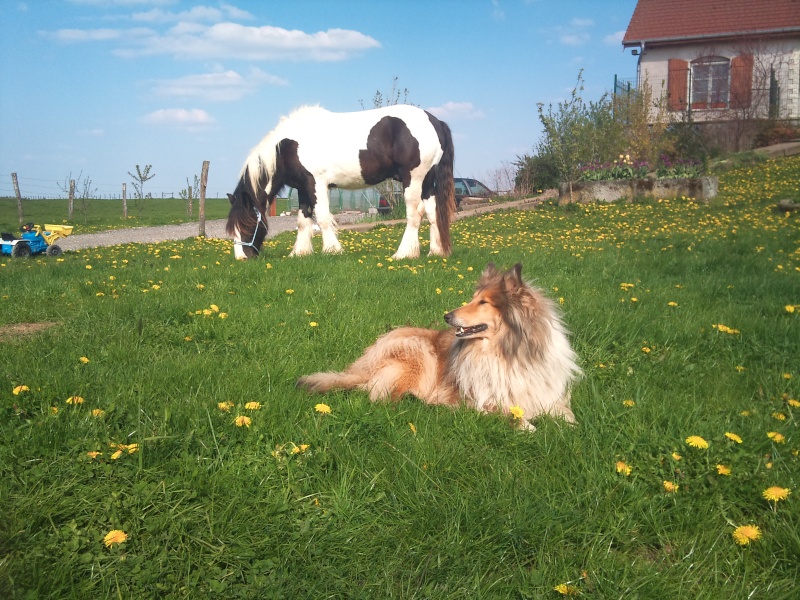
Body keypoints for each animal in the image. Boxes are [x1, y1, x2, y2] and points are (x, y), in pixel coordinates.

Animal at [225, 104, 456, 258]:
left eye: (246, 224)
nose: (242, 258)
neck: (287, 146)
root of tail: (435, 122)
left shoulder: (316, 183)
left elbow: (323, 218)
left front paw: (332, 250)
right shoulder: (303, 188)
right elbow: (303, 220)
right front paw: (299, 253)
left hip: (413, 179)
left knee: (415, 214)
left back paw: (403, 254)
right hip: (427, 182)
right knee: (433, 213)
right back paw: (435, 252)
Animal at [296, 264, 580, 428]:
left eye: (483, 303)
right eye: (473, 299)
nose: (446, 316)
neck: (510, 352)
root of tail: (363, 362)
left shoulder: (547, 393)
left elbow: (569, 416)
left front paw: (571, 429)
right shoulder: (476, 398)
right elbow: (509, 413)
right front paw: (528, 426)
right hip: (419, 352)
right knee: (379, 396)